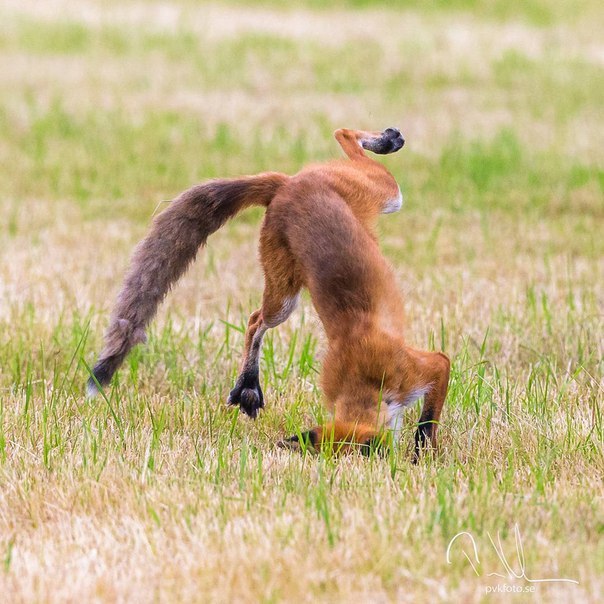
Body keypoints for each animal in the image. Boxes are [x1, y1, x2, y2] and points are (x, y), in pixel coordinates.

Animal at [88, 126, 448, 458]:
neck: (363, 374)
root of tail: (289, 182)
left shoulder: (427, 367)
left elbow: (429, 414)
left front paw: (422, 453)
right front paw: (421, 454)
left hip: (384, 195)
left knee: (346, 136)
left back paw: (386, 140)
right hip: (287, 296)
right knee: (254, 319)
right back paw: (248, 384)